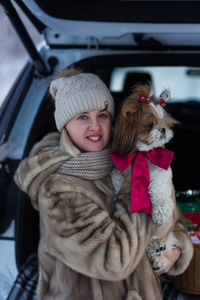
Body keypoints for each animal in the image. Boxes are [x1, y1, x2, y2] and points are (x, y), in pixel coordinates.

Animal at [111, 84, 180, 272]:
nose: (163, 129)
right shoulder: (119, 167)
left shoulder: (160, 170)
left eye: (165, 124)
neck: (141, 154)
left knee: (165, 244)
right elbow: (116, 177)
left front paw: (160, 211)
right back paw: (156, 252)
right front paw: (115, 192)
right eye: (150, 124)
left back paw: (159, 254)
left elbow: (159, 187)